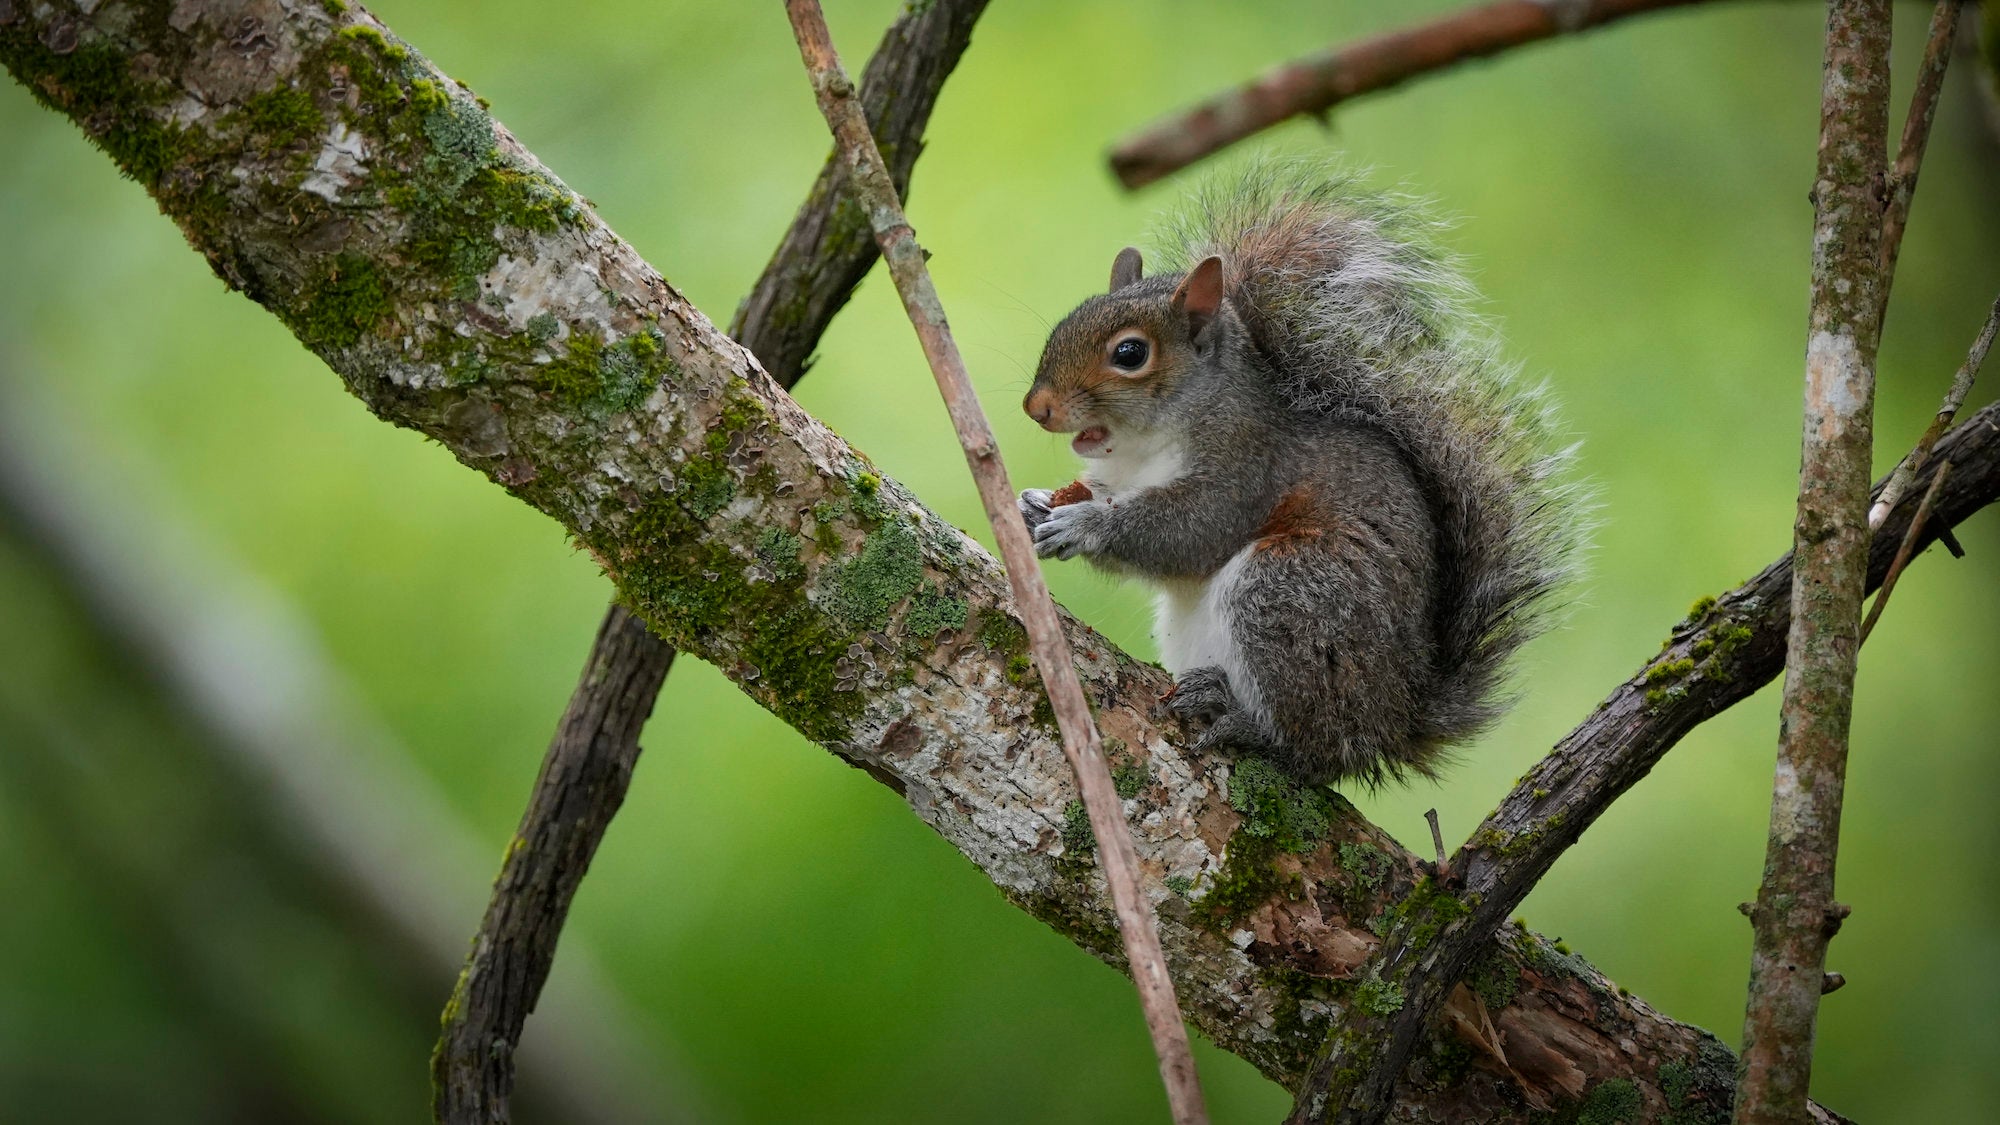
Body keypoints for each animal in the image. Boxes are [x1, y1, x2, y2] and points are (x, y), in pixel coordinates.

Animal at [1017, 163, 1582, 786]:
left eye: (1130, 353)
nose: (1036, 407)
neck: (1142, 447)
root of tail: (1394, 722)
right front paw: (1034, 504)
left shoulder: (1244, 474)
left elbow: (1189, 533)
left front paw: (1085, 526)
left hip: (1290, 591)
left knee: (1314, 751)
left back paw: (1245, 721)